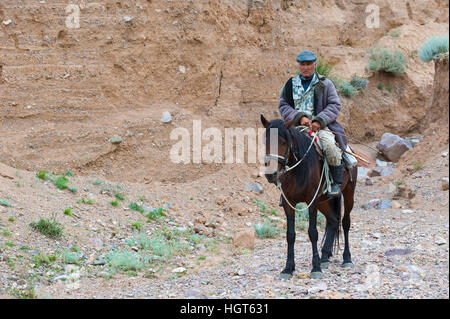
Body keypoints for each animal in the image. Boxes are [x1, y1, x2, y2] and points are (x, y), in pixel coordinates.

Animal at [260, 115, 358, 280]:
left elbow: (313, 233)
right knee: (333, 221)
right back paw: (324, 257)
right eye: (265, 141)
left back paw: (347, 258)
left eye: (283, 141)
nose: (271, 174)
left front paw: (316, 268)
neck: (298, 169)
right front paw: (288, 268)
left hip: (348, 193)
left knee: (345, 222)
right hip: (323, 201)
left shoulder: (311, 201)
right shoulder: (288, 203)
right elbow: (290, 235)